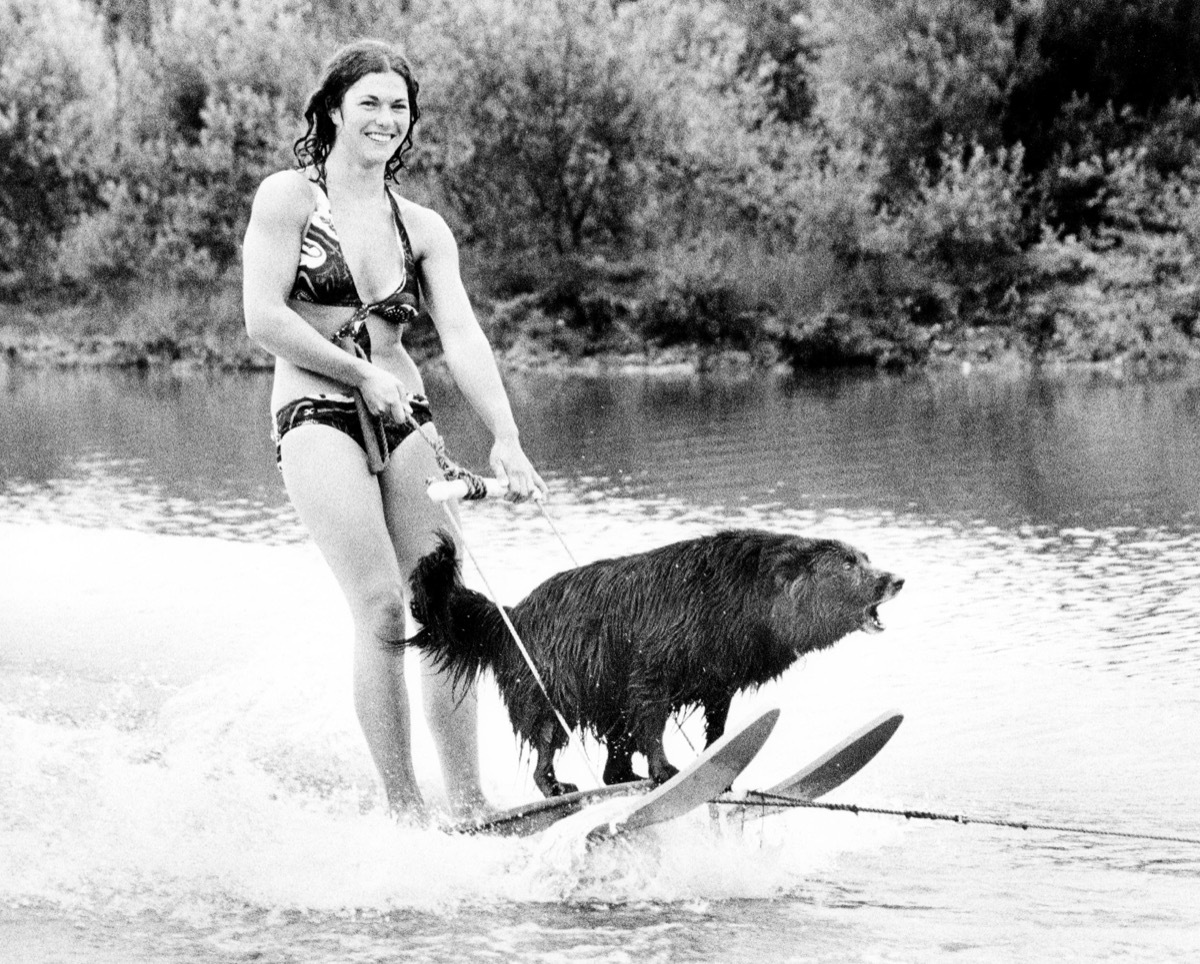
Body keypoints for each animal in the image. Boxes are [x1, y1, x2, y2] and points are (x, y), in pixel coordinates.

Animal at [408, 530, 902, 797]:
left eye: (865, 557)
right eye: (849, 564)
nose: (895, 579)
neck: (740, 594)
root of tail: (512, 614)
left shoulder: (718, 679)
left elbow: (717, 726)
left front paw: (719, 766)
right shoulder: (651, 666)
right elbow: (652, 722)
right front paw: (666, 771)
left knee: (613, 758)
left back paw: (622, 775)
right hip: (553, 687)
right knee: (547, 741)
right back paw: (556, 785)